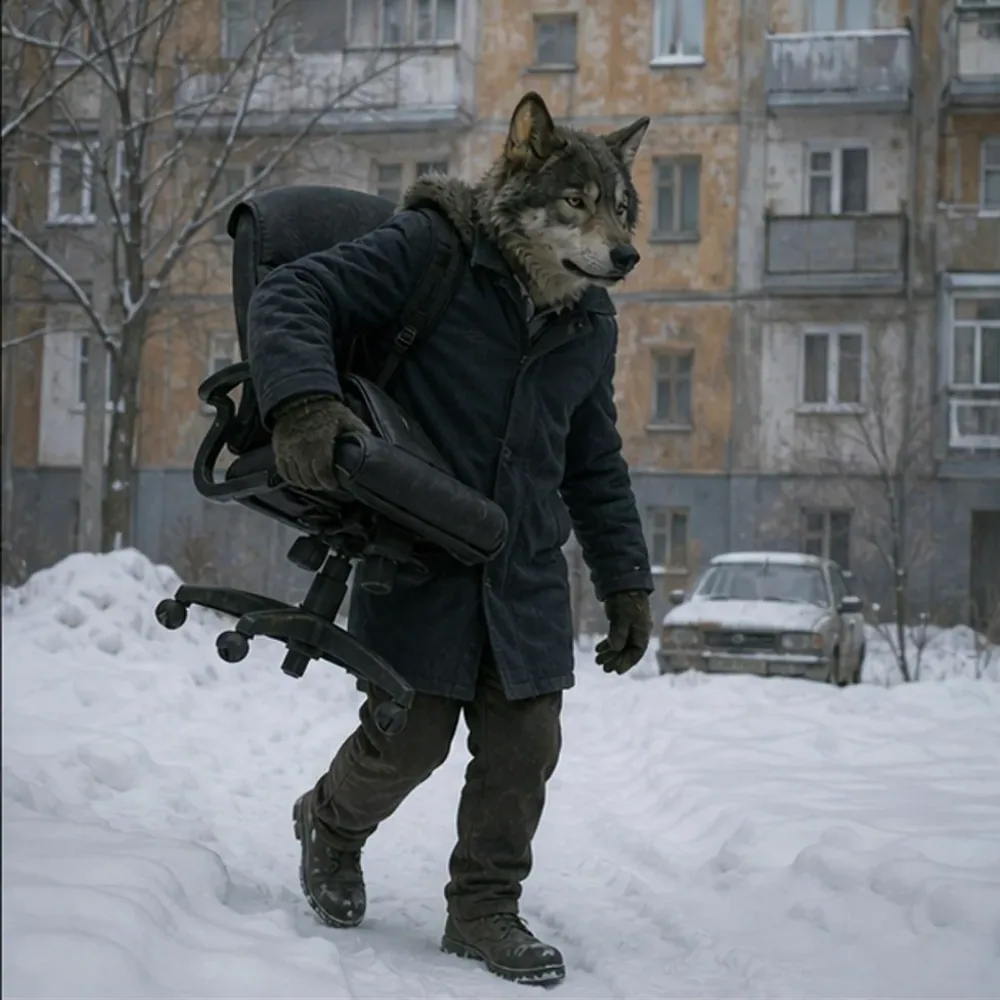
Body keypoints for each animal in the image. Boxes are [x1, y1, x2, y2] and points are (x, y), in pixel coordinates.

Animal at [246, 91, 655, 988]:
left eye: (623, 206)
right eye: (575, 201)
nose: (629, 255)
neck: (531, 305)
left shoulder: (586, 418)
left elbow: (598, 467)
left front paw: (493, 930)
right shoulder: (400, 255)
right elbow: (303, 285)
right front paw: (312, 427)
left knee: (505, 752)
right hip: (410, 665)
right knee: (399, 746)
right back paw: (323, 851)